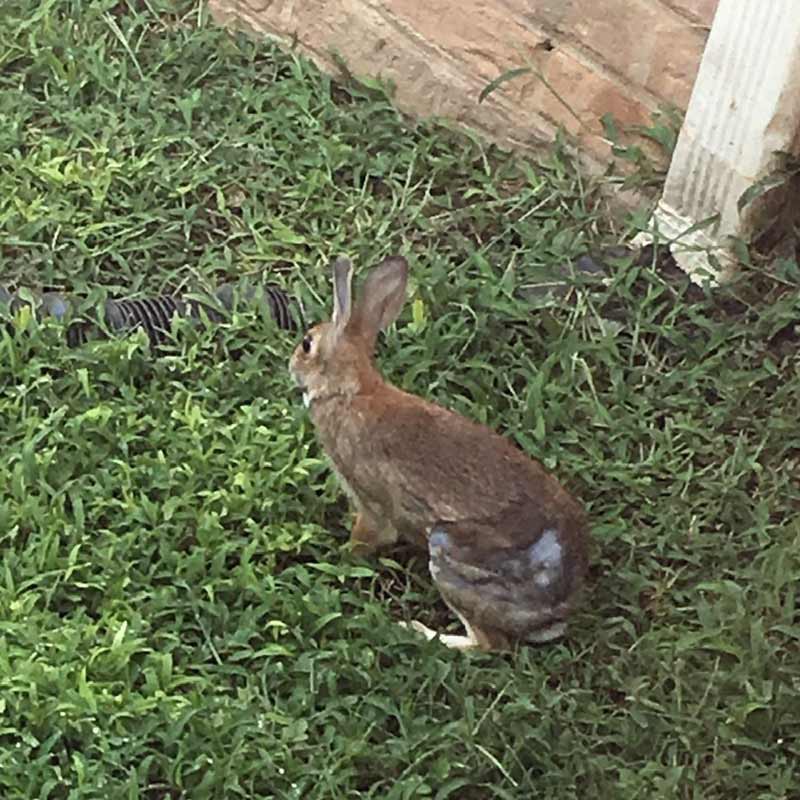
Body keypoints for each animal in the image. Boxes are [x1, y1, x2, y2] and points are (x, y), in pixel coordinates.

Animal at [289, 254, 589, 651]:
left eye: (307, 344)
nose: (292, 365)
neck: (349, 391)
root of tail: (558, 605)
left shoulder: (370, 501)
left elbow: (370, 535)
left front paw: (339, 557)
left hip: (449, 553)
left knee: (489, 645)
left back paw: (415, 630)